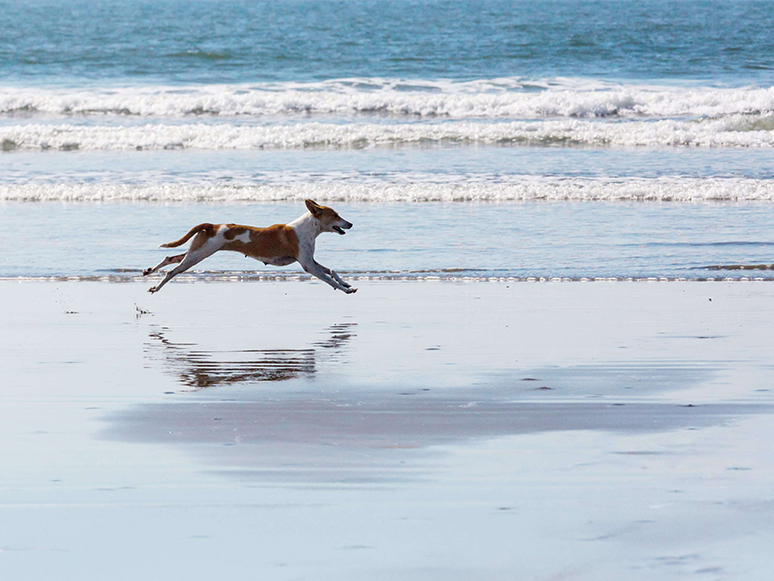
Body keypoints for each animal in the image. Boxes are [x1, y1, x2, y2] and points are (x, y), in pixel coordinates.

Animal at [142, 199, 358, 294]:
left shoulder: (310, 260)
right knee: (172, 272)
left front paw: (345, 283)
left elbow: (331, 270)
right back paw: (156, 287)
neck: (306, 229)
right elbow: (327, 279)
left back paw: (149, 270)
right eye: (335, 215)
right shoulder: (307, 265)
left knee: (170, 258)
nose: (351, 223)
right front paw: (345, 289)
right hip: (199, 255)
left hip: (196, 250)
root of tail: (211, 226)